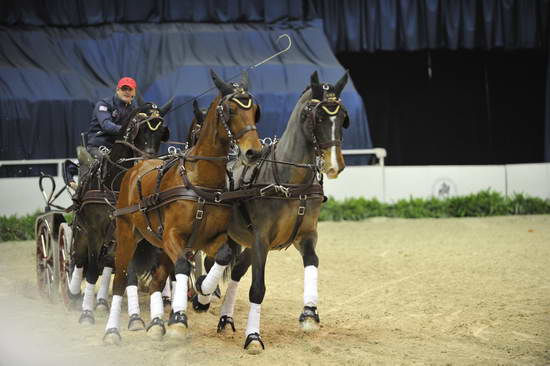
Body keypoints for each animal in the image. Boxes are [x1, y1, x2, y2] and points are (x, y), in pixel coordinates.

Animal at [66, 99, 171, 326]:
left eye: (161, 133)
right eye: (141, 130)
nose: (149, 162)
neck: (112, 183)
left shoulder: (131, 234)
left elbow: (128, 272)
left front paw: (135, 317)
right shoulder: (95, 232)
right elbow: (92, 270)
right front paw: (86, 313)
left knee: (108, 262)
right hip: (82, 233)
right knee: (79, 259)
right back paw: (73, 294)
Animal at [105, 70, 266, 344]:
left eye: (254, 110)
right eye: (231, 110)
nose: (253, 152)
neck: (199, 180)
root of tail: (137, 165)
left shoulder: (207, 239)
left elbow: (221, 257)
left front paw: (202, 293)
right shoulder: (172, 236)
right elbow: (182, 266)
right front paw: (179, 320)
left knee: (157, 281)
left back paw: (156, 324)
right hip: (127, 236)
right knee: (120, 281)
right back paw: (113, 330)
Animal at [210, 70, 350, 354]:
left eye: (342, 117)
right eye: (318, 117)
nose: (334, 166)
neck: (289, 181)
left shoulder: (305, 235)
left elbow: (313, 261)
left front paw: (309, 314)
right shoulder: (261, 239)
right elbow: (257, 288)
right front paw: (253, 336)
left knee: (235, 268)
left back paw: (225, 317)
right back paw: (199, 295)